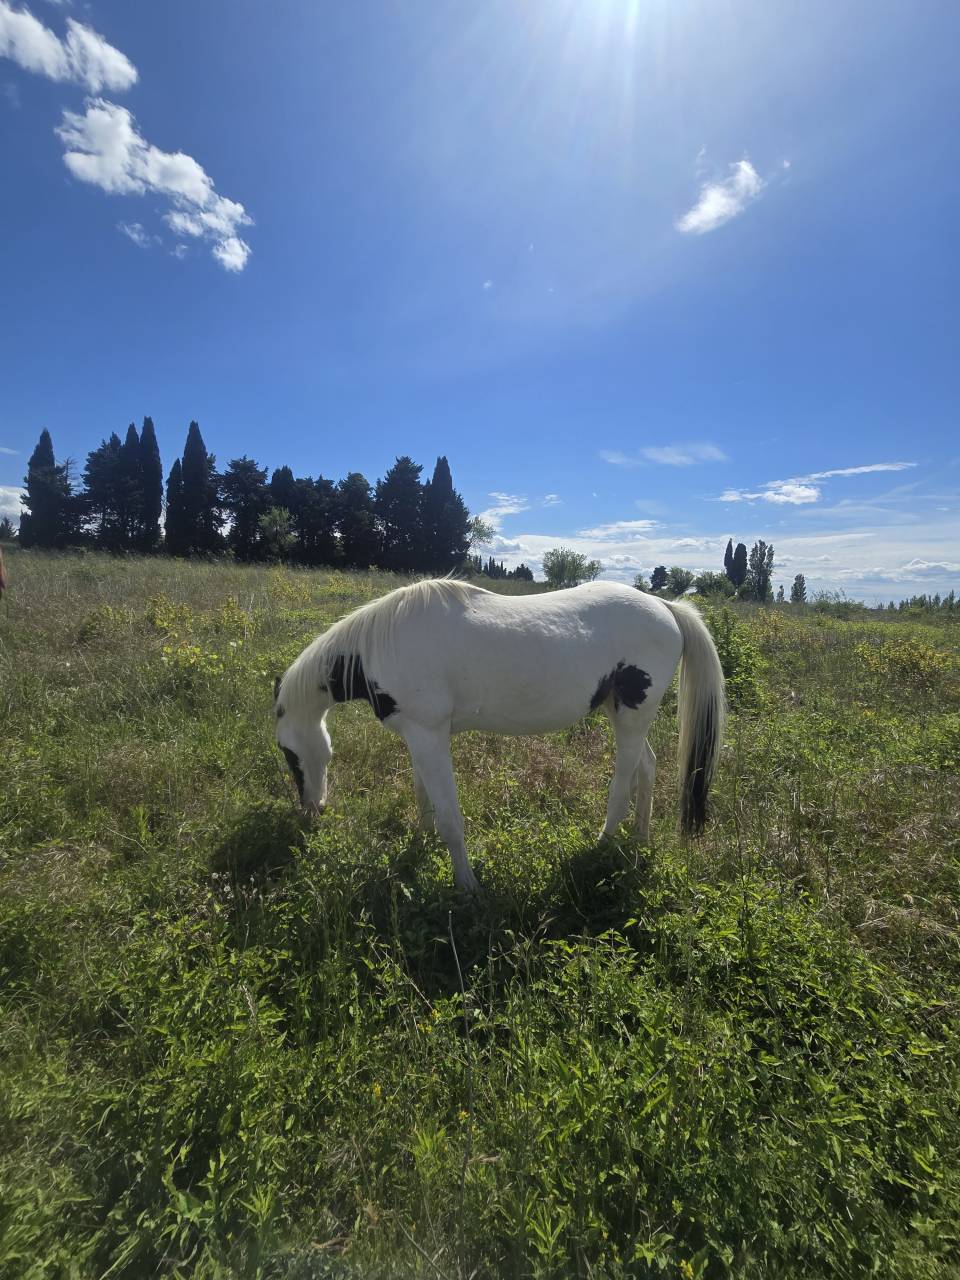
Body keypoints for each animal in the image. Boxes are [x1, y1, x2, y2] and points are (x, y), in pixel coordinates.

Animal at [274, 578, 725, 894]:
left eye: (289, 754)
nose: (311, 809)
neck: (381, 645)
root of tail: (666, 607)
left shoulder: (430, 736)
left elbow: (451, 819)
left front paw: (467, 887)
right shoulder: (418, 735)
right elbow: (424, 797)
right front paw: (420, 842)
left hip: (632, 718)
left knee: (622, 784)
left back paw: (601, 847)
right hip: (622, 713)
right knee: (647, 768)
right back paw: (640, 839)